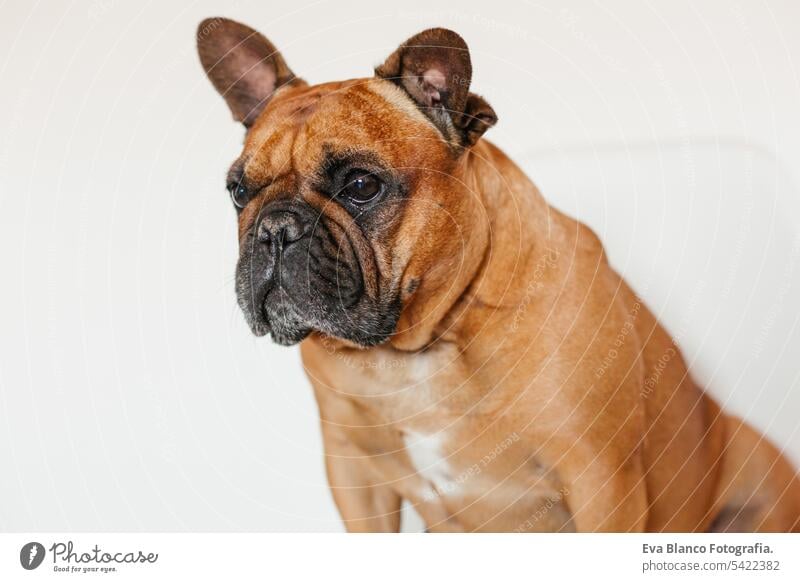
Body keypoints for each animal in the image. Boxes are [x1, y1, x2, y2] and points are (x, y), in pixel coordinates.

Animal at [195, 18, 800, 532]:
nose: (274, 228)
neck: (420, 347)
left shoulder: (601, 479)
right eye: (238, 192)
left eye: (361, 186)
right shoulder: (354, 474)